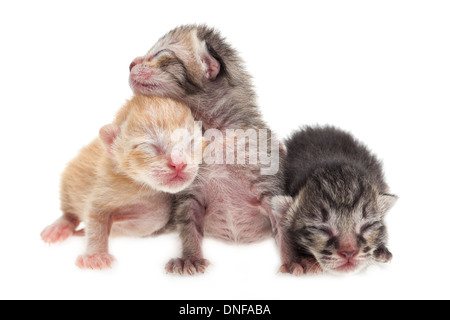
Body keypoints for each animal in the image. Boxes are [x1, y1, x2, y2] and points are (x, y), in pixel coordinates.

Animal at [40, 95, 202, 270]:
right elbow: (96, 221)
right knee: (69, 212)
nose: (179, 163)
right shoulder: (103, 189)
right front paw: (95, 255)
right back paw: (59, 227)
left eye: (191, 143)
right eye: (149, 146)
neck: (147, 188)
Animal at [128, 25, 284, 276]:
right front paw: (189, 258)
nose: (131, 63)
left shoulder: (268, 180)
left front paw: (296, 261)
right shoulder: (188, 192)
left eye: (161, 54)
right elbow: (188, 226)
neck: (214, 136)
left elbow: (283, 224)